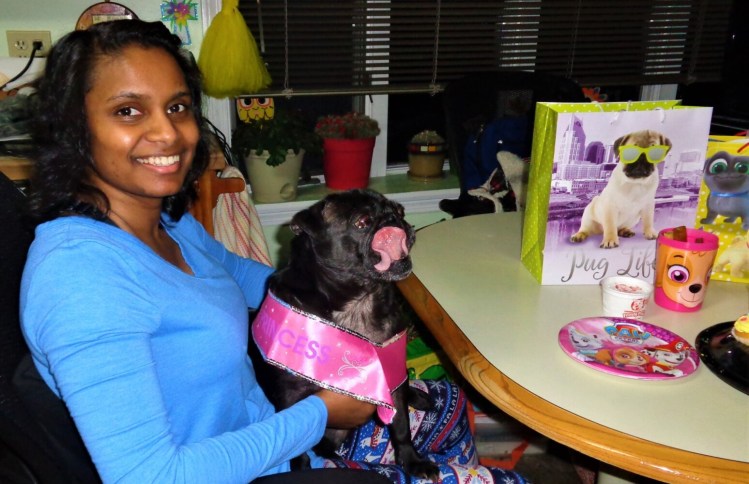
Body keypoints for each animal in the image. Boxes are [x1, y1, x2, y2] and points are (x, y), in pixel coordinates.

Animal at [251, 187, 438, 478]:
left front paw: (412, 460)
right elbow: (297, 446)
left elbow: (401, 426)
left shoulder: (392, 373)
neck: (359, 301)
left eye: (400, 211)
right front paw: (301, 469)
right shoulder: (292, 397)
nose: (393, 221)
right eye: (362, 222)